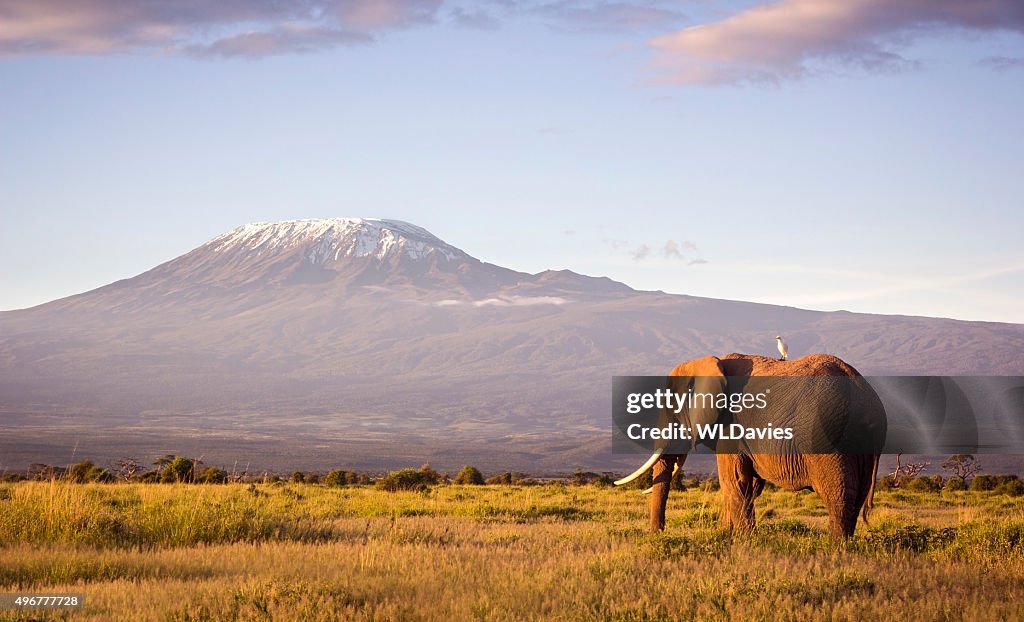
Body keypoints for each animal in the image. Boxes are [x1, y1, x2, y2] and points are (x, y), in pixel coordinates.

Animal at [615, 353, 886, 538]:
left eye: (671, 409)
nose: (659, 534)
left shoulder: (731, 425)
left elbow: (735, 481)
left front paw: (745, 541)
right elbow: (747, 485)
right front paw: (724, 535)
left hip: (828, 435)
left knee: (837, 495)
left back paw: (835, 547)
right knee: (857, 497)